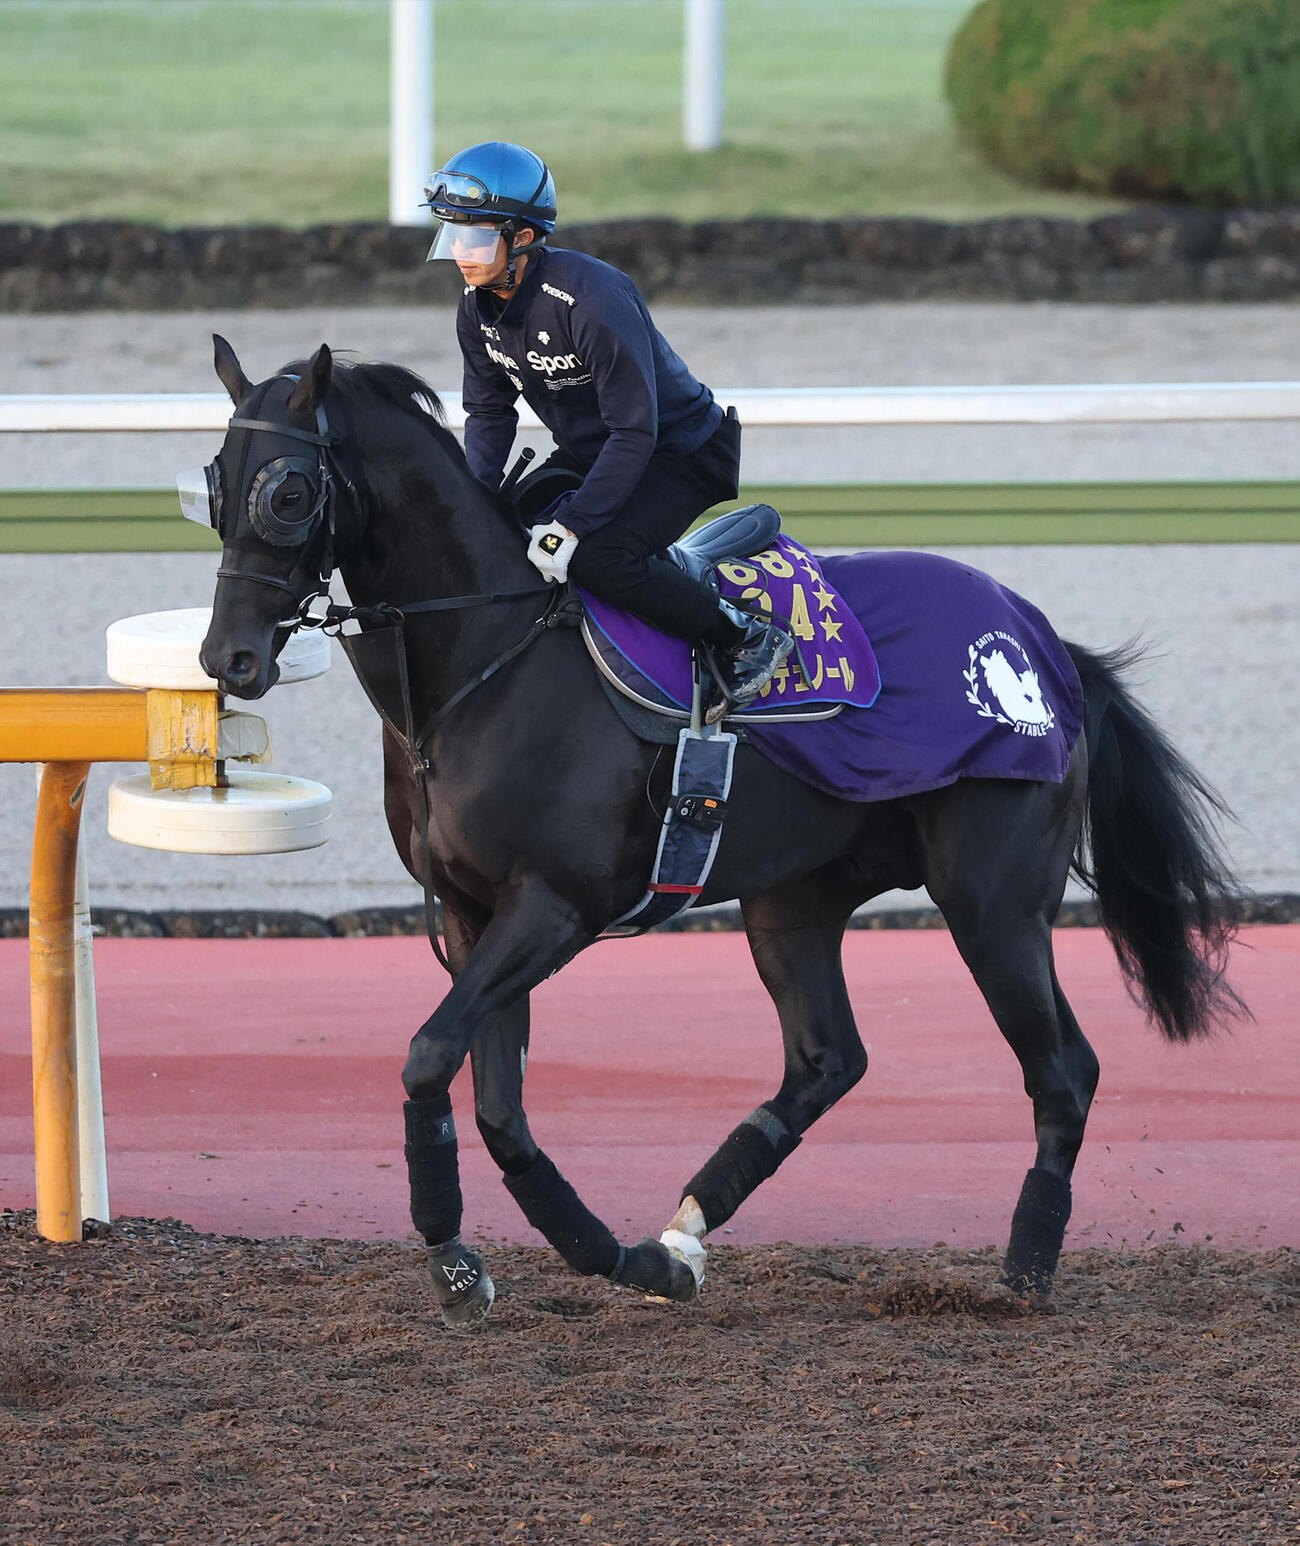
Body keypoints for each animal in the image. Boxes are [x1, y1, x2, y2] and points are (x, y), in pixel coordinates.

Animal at [196, 337, 1245, 1327]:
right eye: (211, 481)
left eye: (287, 492)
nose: (229, 658)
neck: (484, 664)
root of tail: (1041, 641)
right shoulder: (470, 912)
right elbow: (493, 1101)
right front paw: (559, 1262)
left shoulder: (554, 907)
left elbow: (429, 1056)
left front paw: (492, 1259)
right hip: (797, 900)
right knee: (829, 1062)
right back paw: (686, 1230)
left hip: (993, 902)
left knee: (1061, 1069)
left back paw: (1022, 1273)